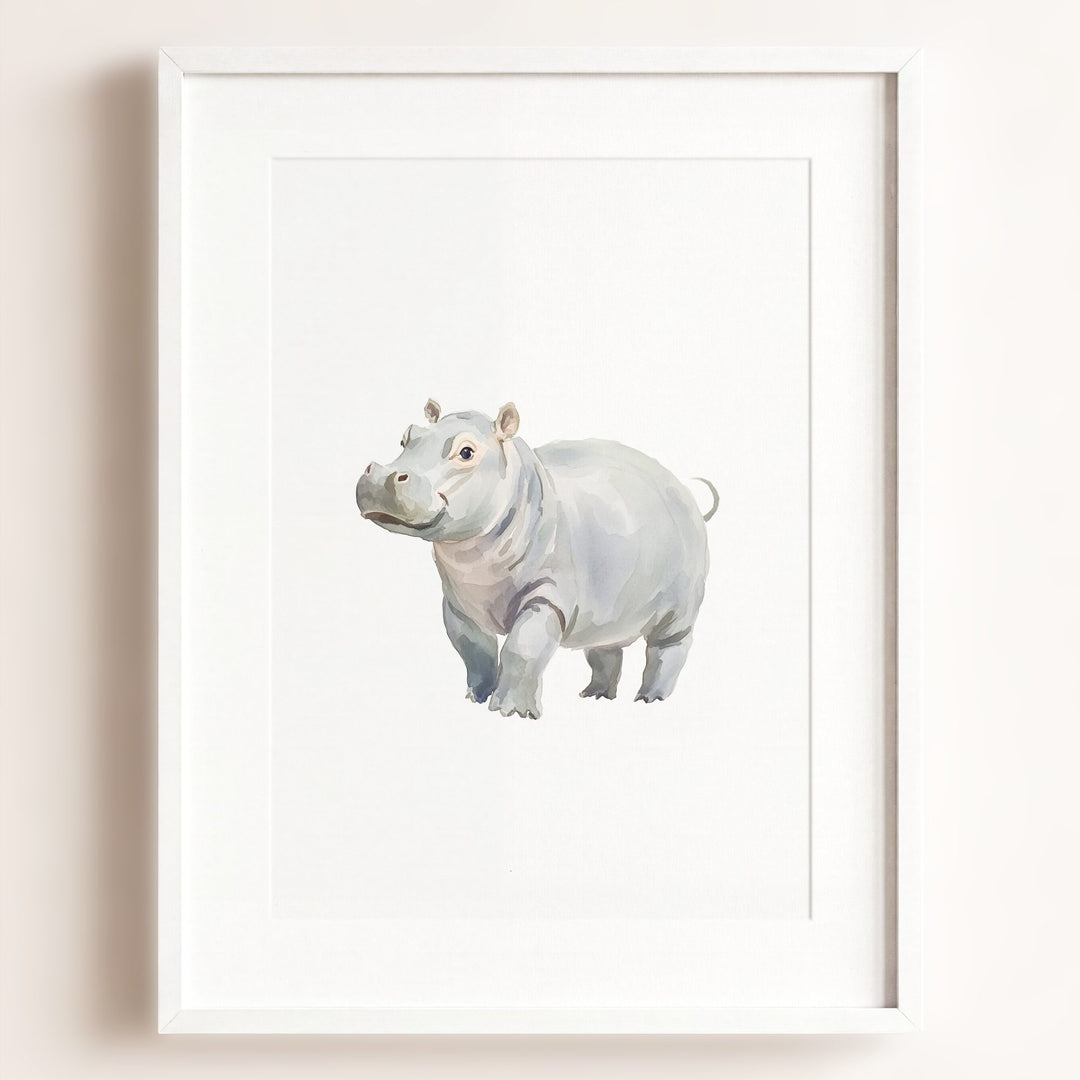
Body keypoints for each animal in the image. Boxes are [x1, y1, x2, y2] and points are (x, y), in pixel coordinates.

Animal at [355, 400, 717, 718]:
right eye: (405, 437)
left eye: (466, 452)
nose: (382, 475)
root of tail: (687, 495)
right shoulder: (458, 603)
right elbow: (472, 649)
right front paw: (477, 698)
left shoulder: (547, 596)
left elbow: (522, 648)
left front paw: (510, 713)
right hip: (609, 604)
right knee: (604, 647)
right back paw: (594, 696)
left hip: (681, 604)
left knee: (668, 646)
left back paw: (650, 700)